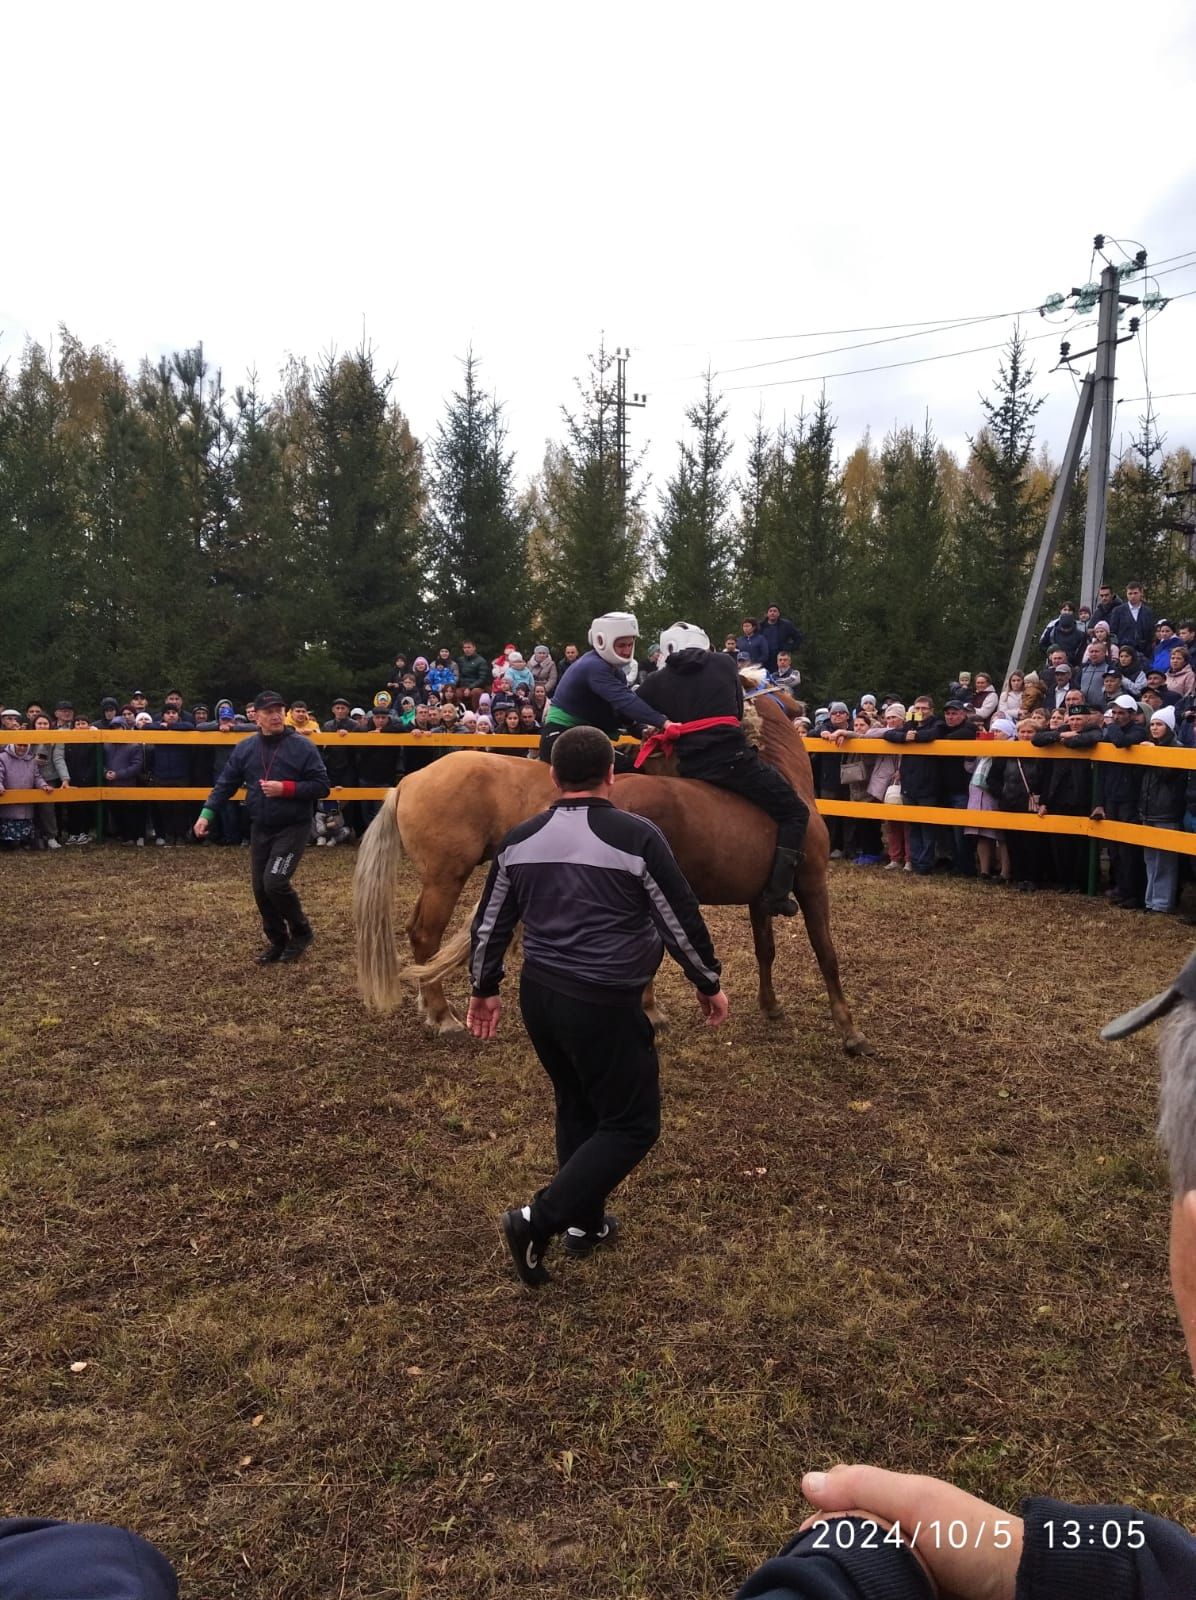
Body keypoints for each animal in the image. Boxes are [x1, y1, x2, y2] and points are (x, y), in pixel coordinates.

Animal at [350, 684, 863, 1049]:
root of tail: (410, 780)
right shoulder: (811, 883)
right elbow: (827, 955)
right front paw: (848, 1030)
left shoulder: (760, 896)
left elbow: (765, 951)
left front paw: (770, 1007)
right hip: (446, 876)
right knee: (425, 935)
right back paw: (443, 1016)